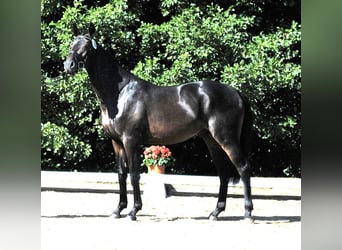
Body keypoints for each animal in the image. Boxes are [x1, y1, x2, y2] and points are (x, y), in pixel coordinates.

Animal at [62, 24, 252, 222]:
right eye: (72, 43)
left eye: (86, 46)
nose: (69, 65)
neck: (120, 95)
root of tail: (235, 92)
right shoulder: (116, 142)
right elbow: (121, 174)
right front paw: (118, 210)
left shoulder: (131, 140)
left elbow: (134, 174)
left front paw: (133, 211)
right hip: (211, 140)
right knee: (223, 174)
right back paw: (215, 212)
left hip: (227, 138)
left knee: (243, 168)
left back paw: (247, 214)